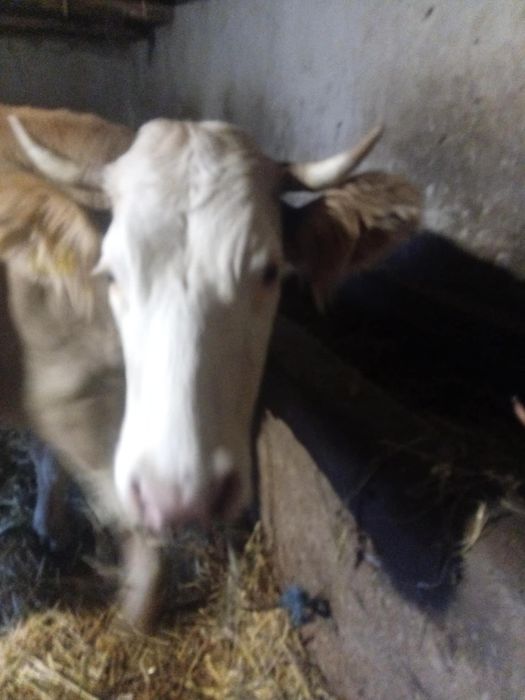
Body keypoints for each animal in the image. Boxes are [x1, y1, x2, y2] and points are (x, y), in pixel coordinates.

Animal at [4, 106, 421, 628]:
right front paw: (136, 613)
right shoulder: (62, 397)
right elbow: (113, 503)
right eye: (112, 271)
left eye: (269, 271)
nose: (182, 500)